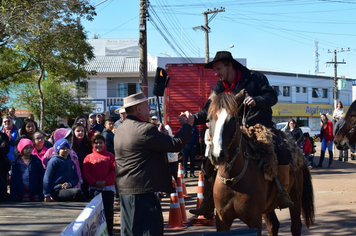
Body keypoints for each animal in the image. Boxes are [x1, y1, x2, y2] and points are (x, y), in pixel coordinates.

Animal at [207, 90, 316, 234]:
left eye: (233, 119)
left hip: (295, 198)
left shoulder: (254, 220)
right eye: (209, 119)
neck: (233, 179)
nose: (217, 155)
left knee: (295, 226)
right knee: (273, 225)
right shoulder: (222, 221)